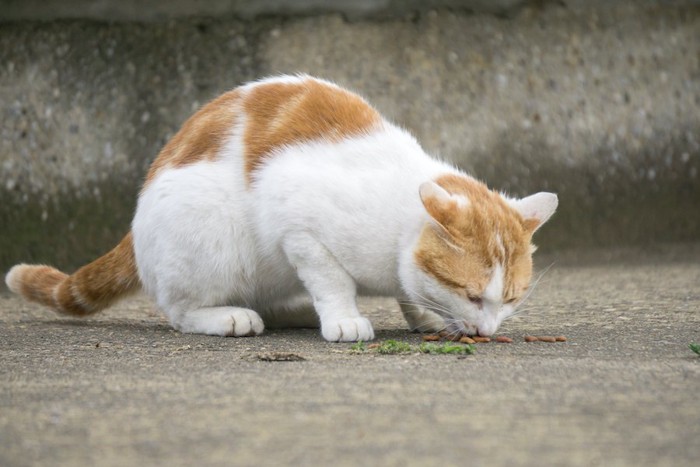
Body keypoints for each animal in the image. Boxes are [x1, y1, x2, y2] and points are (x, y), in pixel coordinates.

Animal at [2, 75, 556, 342]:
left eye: (509, 299)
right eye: (472, 294)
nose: (487, 332)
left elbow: (410, 289)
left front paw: (422, 312)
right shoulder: (298, 225)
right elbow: (332, 280)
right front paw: (345, 318)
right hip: (209, 240)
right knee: (179, 310)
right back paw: (230, 317)